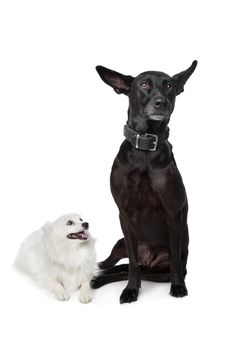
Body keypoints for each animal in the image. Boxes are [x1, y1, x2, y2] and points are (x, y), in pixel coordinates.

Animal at [92, 61, 198, 302]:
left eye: (169, 85)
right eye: (143, 84)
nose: (161, 102)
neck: (145, 148)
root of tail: (149, 260)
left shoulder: (172, 213)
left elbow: (174, 262)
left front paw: (178, 286)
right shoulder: (124, 214)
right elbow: (131, 263)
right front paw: (131, 289)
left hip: (159, 271)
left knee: (128, 270)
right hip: (120, 243)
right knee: (119, 265)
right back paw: (97, 275)